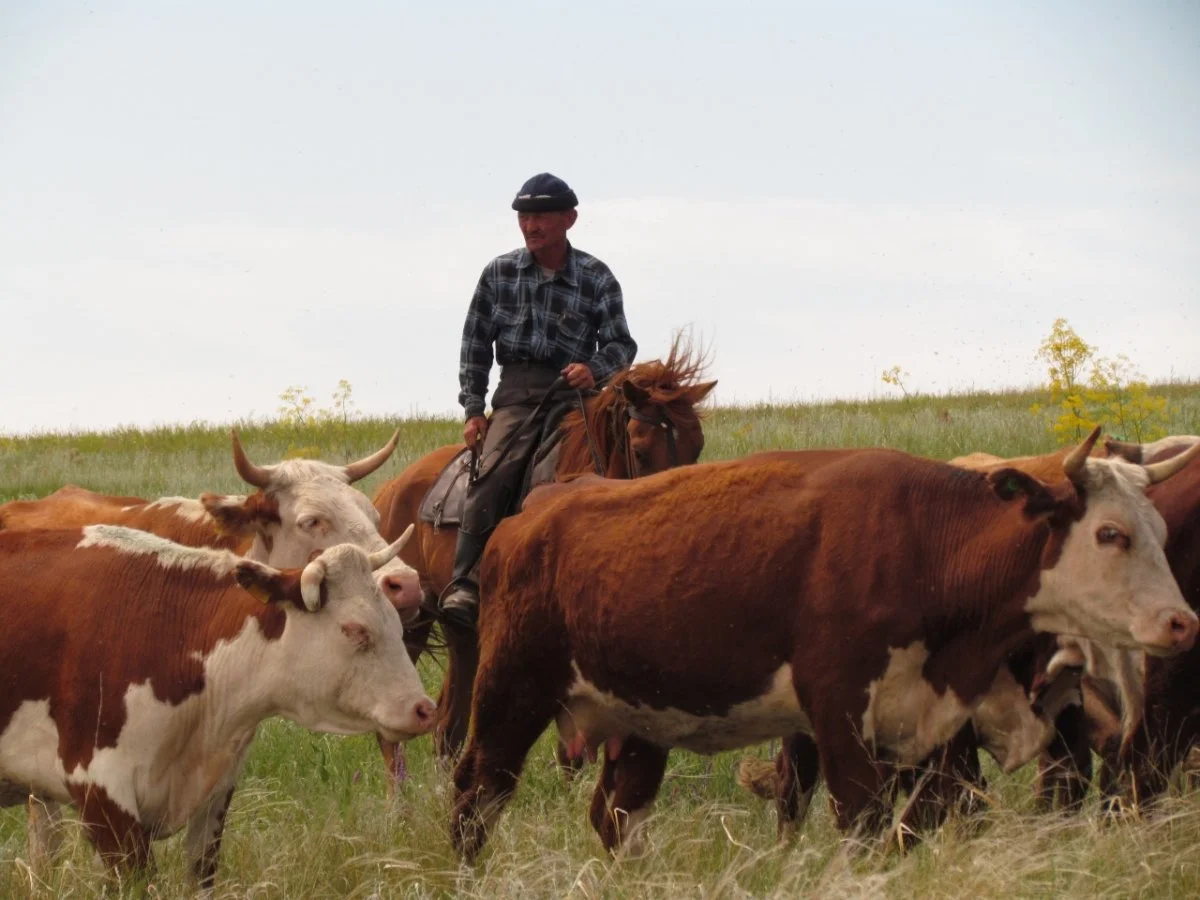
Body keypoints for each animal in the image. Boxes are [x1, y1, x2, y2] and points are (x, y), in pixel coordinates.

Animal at [374, 338, 710, 777]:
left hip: (463, 634)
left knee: (448, 724)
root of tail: (389, 491)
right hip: (409, 624)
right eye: (639, 448)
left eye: (696, 445)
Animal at [451, 436, 1200, 859]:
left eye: (1161, 531)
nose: (1182, 623)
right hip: (510, 693)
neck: (925, 543)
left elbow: (934, 811)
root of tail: (533, 511)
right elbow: (862, 822)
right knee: (477, 794)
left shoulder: (931, 725)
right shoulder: (840, 713)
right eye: (1109, 533)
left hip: (639, 720)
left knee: (616, 815)